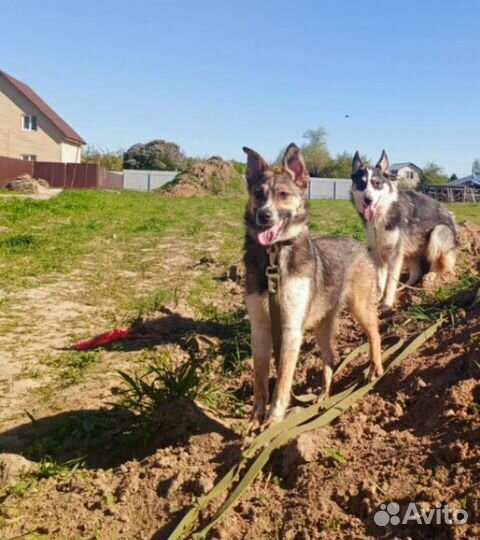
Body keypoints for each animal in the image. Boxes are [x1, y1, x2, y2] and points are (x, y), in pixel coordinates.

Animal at [244, 143, 382, 426]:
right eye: (258, 194)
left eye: (283, 194)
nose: (264, 216)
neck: (274, 257)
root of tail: (358, 245)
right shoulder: (260, 329)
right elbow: (260, 380)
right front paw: (256, 418)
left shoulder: (291, 331)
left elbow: (282, 381)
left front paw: (274, 420)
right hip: (322, 324)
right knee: (330, 358)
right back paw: (323, 397)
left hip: (361, 308)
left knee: (375, 335)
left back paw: (377, 368)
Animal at [352, 151, 458, 308]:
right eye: (361, 183)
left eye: (377, 184)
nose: (368, 200)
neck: (382, 213)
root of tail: (452, 217)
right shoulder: (378, 253)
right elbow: (380, 281)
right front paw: (377, 298)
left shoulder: (394, 255)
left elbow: (390, 283)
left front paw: (387, 303)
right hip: (410, 249)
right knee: (416, 273)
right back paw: (405, 288)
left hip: (437, 234)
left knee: (439, 266)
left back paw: (429, 278)